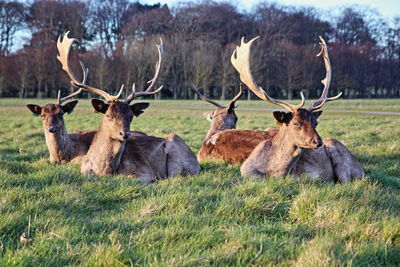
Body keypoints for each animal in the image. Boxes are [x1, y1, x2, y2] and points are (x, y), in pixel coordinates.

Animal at [57, 31, 202, 182]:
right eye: (108, 115)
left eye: (131, 116)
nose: (125, 133)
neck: (105, 171)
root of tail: (198, 163)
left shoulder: (144, 172)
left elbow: (127, 178)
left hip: (177, 153)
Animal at [231, 35, 366, 182]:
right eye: (295, 123)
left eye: (315, 123)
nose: (318, 142)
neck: (273, 172)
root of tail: (362, 169)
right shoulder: (246, 171)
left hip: (339, 152)